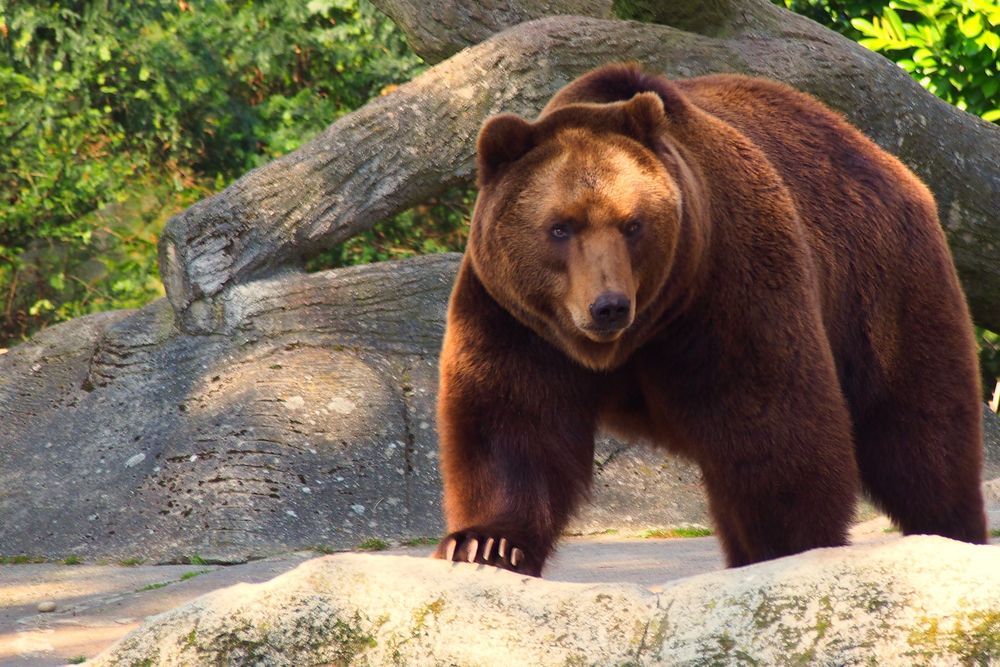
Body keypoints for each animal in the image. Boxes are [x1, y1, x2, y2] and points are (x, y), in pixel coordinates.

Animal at [432, 63, 988, 576]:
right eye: (560, 227)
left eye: (632, 224)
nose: (609, 305)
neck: (636, 337)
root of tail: (890, 162)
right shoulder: (516, 318)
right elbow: (511, 422)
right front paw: (485, 543)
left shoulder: (726, 288)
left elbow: (772, 424)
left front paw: (790, 547)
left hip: (882, 288)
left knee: (921, 433)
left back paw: (954, 533)